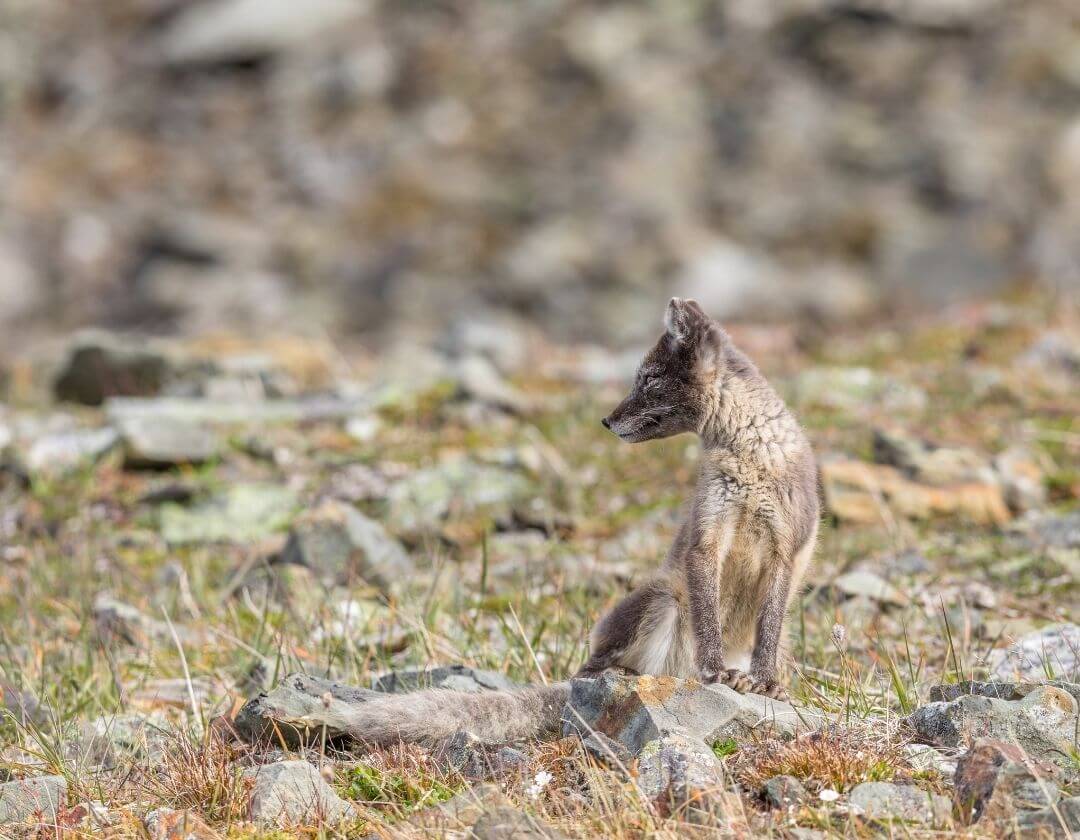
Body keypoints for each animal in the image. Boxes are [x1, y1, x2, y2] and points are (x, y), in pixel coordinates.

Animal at [325, 298, 819, 747]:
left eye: (649, 379)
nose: (606, 420)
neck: (750, 455)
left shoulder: (786, 550)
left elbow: (767, 627)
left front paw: (764, 683)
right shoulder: (707, 535)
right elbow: (707, 617)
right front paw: (716, 671)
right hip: (659, 601)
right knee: (593, 671)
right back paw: (622, 678)